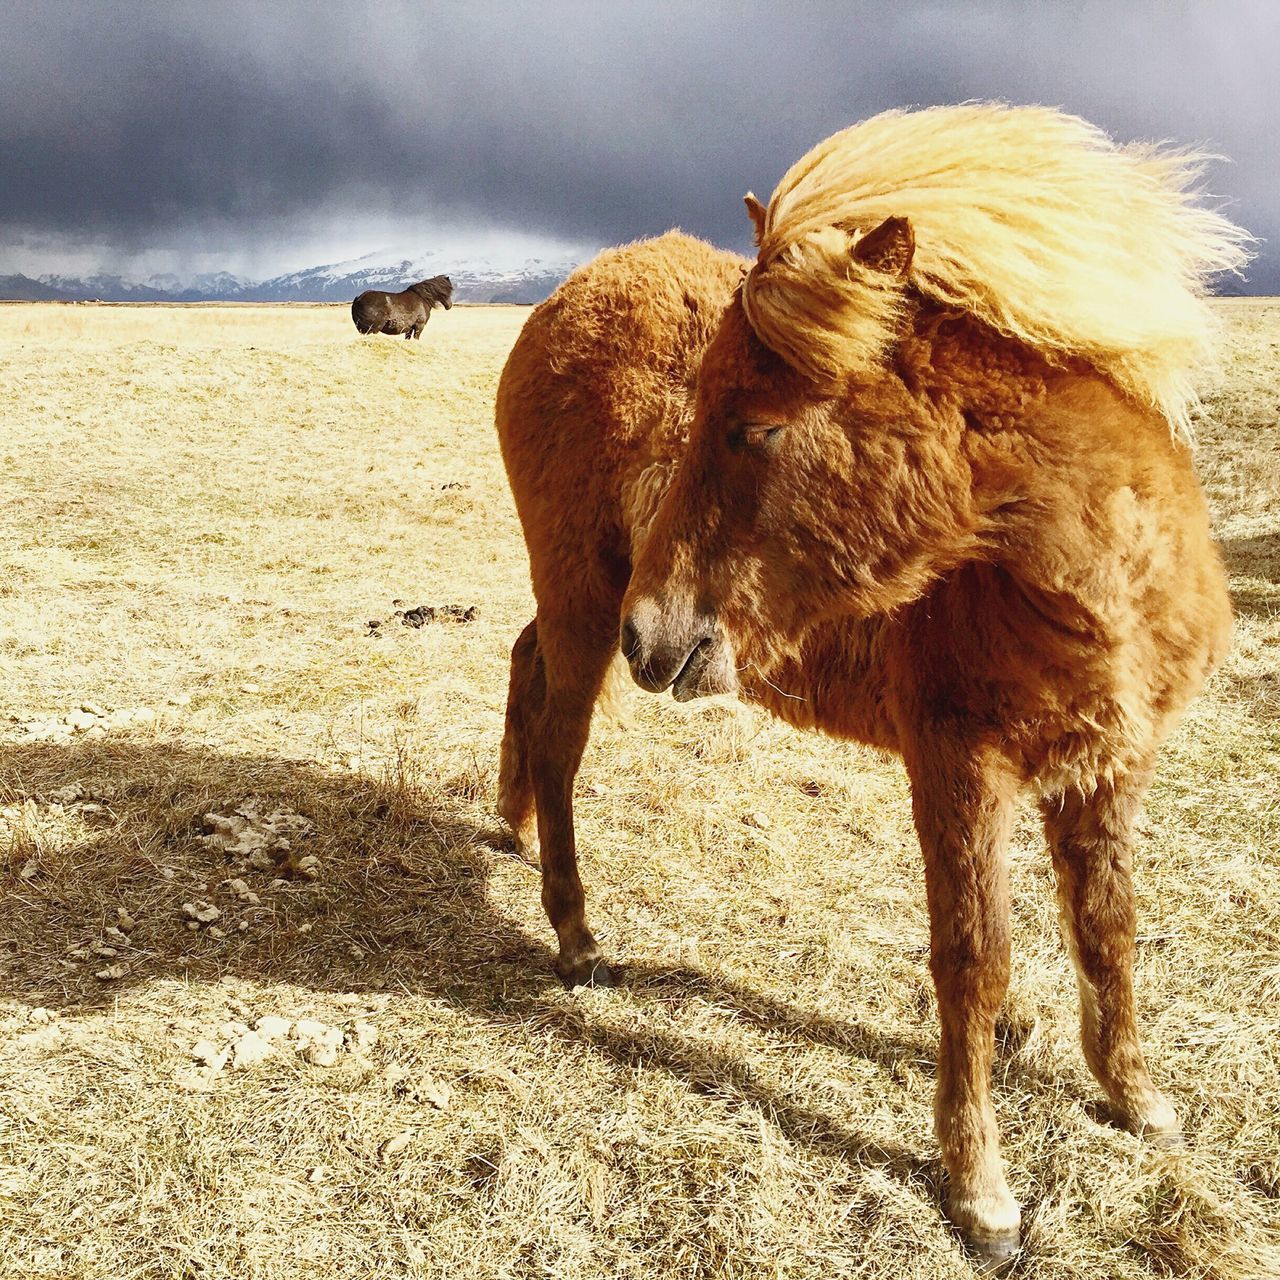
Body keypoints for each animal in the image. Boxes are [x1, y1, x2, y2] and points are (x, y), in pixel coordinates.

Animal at [494, 104, 1244, 1264]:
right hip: (583, 599)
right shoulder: (959, 766)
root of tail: (562, 302)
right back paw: (574, 934)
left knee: (527, 675)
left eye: (754, 424)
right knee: (561, 733)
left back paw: (512, 824)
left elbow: (1107, 929)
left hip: (578, 606)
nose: (657, 633)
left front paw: (1134, 1098)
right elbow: (972, 956)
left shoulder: (1107, 765)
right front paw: (980, 1190)